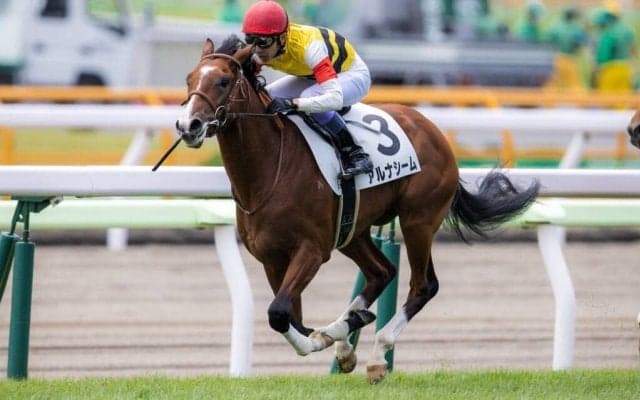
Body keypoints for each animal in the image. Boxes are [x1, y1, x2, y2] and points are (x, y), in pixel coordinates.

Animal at [175, 35, 540, 384]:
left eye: (223, 81)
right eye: (189, 78)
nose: (187, 125)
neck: (269, 170)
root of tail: (433, 130)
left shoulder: (312, 250)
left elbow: (279, 314)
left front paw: (325, 338)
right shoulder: (272, 258)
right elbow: (289, 316)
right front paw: (337, 337)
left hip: (418, 220)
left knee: (423, 285)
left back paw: (377, 354)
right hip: (353, 230)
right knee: (381, 272)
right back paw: (350, 330)